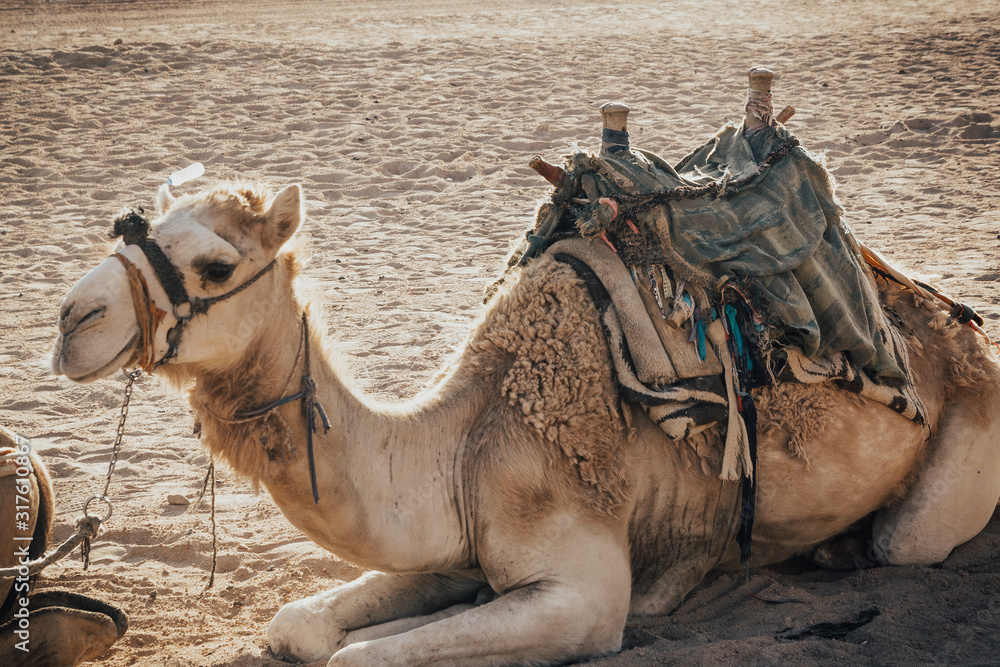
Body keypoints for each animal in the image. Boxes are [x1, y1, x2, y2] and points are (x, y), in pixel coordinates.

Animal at [49, 180, 1000, 666]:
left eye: (215, 264)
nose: (70, 318)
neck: (464, 433)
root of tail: (959, 332)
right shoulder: (459, 536)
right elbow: (301, 627)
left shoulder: (582, 589)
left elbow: (365, 655)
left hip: (957, 456)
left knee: (906, 540)